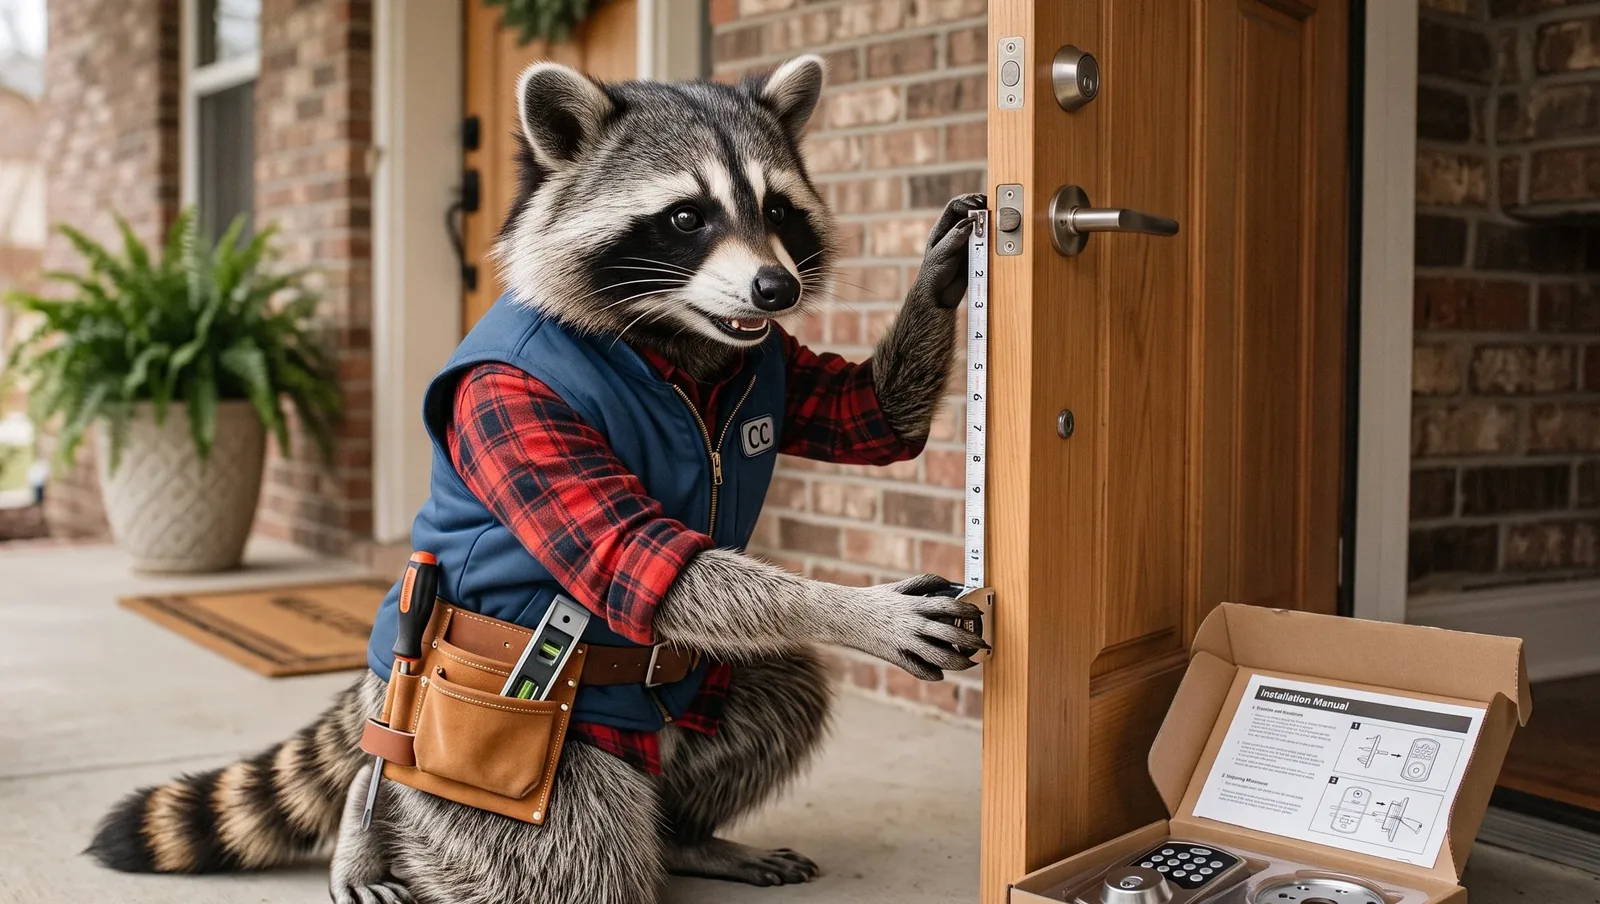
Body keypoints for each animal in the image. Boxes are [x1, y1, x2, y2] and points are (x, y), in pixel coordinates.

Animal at [87, 55, 986, 904]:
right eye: (686, 217)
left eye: (776, 211)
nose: (777, 287)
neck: (672, 349)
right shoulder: (511, 402)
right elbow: (637, 555)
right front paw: (854, 610)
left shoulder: (769, 362)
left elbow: (863, 411)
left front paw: (939, 277)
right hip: (471, 739)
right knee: (572, 857)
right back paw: (367, 822)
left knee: (789, 685)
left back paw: (689, 838)